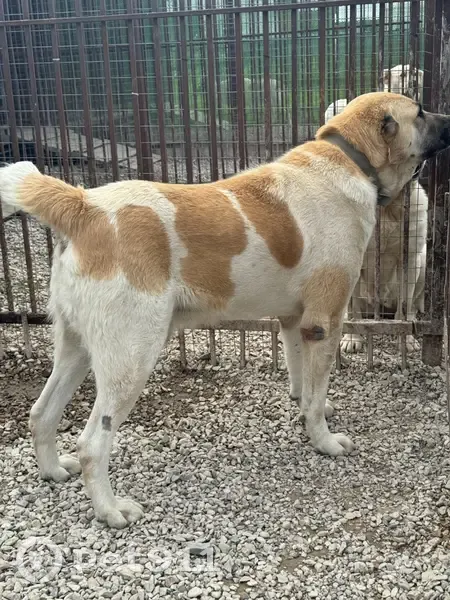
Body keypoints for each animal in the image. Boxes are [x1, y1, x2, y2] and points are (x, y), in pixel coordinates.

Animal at [1, 93, 449, 528]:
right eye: (419, 111)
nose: (449, 119)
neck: (350, 159)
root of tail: (85, 206)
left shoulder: (294, 322)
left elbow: (303, 382)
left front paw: (309, 410)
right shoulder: (324, 324)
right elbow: (317, 387)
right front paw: (323, 441)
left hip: (76, 349)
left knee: (41, 413)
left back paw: (53, 470)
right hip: (131, 359)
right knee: (93, 443)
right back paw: (110, 511)